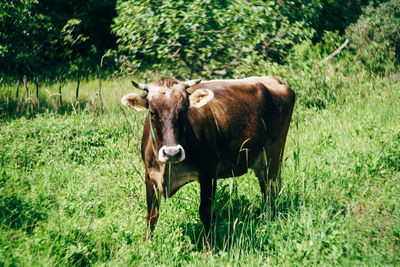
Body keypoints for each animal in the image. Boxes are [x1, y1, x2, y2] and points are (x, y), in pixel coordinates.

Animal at [120, 76, 296, 243]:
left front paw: (209, 247)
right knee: (266, 189)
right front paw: (146, 243)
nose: (172, 152)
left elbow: (205, 212)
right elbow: (152, 214)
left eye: (184, 111)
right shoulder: (149, 174)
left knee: (272, 189)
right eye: (152, 112)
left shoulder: (209, 173)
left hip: (274, 154)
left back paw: (270, 219)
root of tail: (273, 80)